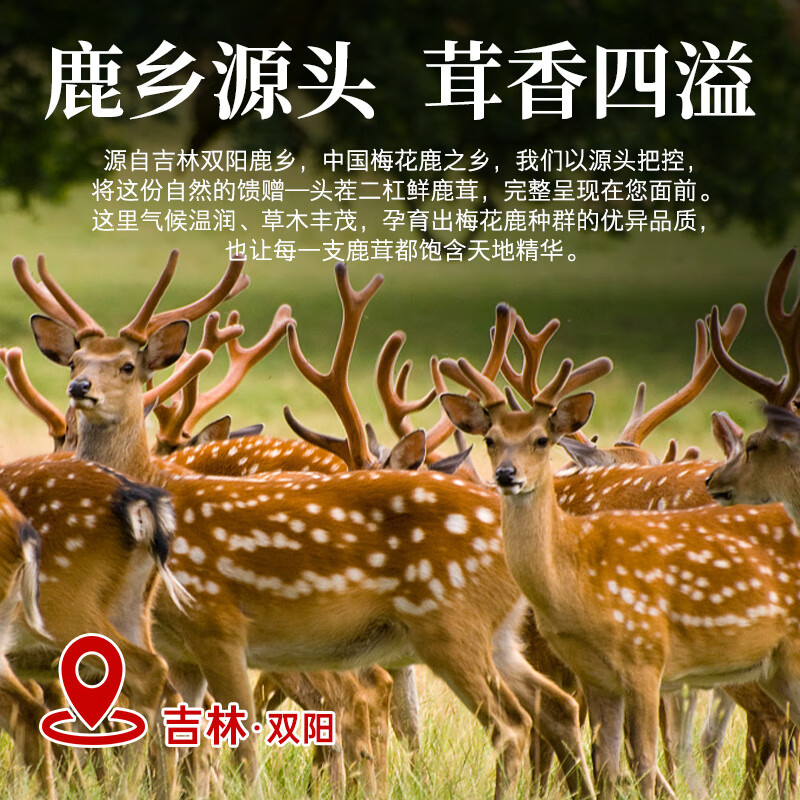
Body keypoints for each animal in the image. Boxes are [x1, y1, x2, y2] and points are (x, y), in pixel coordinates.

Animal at [14, 252, 597, 800]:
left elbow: (236, 738)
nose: (80, 387)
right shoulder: (177, 645)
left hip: (446, 627)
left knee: (495, 721)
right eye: (76, 358)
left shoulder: (219, 624)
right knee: (554, 705)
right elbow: (183, 738)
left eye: (129, 366)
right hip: (494, 636)